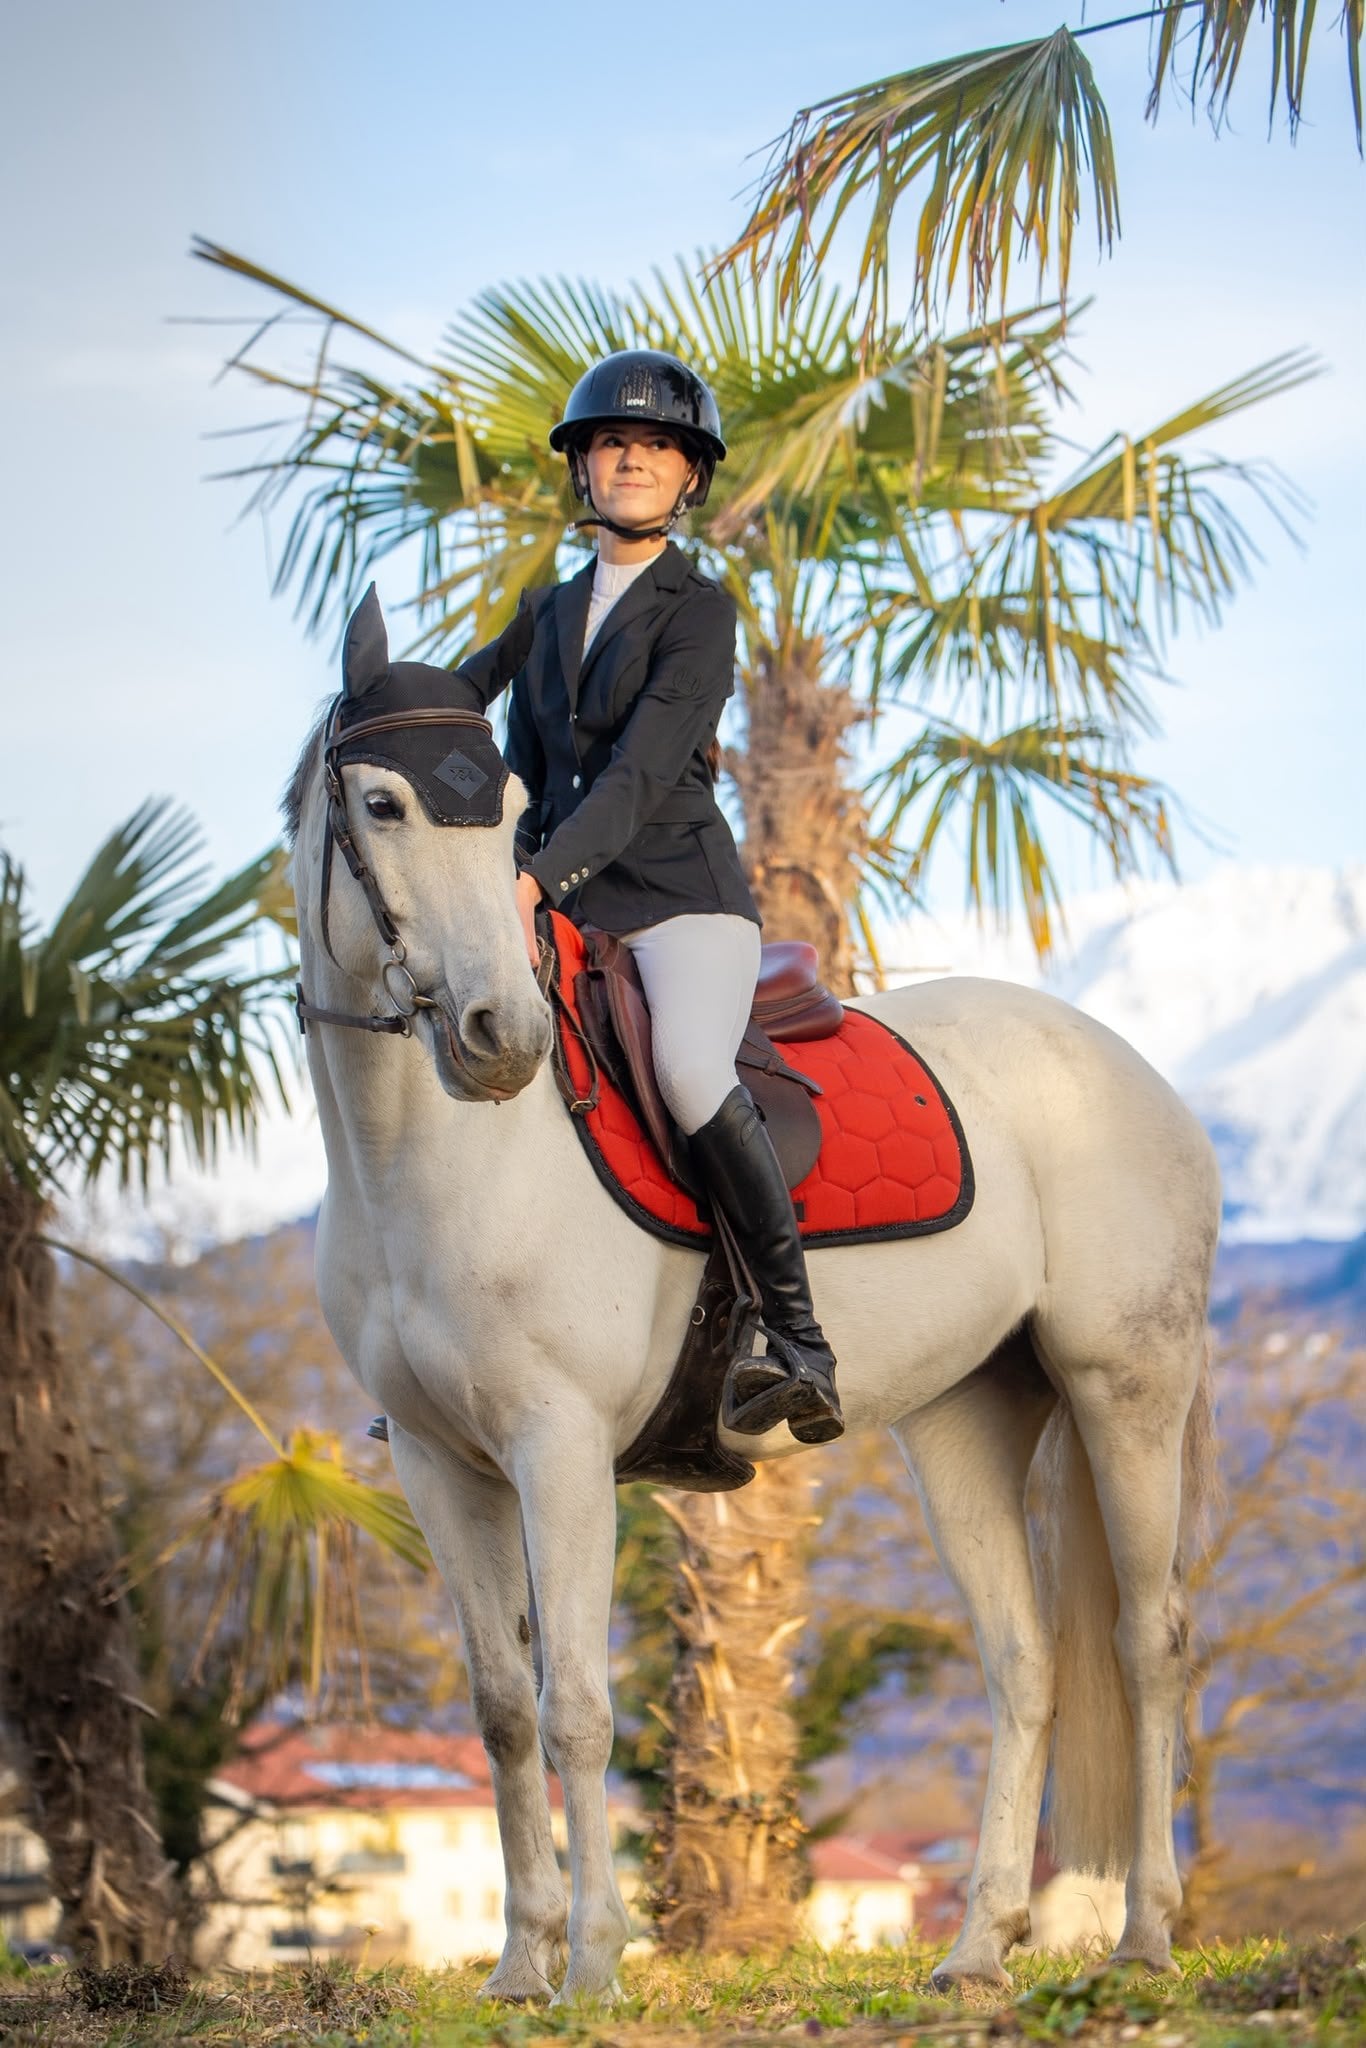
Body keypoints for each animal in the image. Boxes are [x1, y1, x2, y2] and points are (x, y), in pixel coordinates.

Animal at [285, 668, 1220, 2002]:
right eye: (383, 803)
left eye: (509, 812)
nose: (497, 1036)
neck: (434, 1151)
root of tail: (1132, 1072)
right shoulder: (436, 1461)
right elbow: (504, 1708)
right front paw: (517, 1967)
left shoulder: (558, 1448)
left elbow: (574, 1704)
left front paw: (592, 1967)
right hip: (966, 1422)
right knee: (1026, 1663)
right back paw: (976, 1947)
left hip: (1126, 1387)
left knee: (1147, 1641)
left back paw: (1144, 1934)